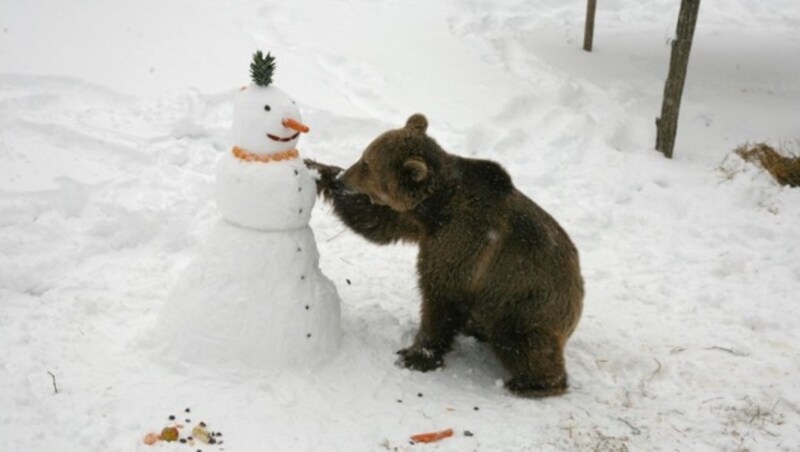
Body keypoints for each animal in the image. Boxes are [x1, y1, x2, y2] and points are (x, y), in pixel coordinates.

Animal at [306, 115, 580, 398]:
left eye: (366, 164)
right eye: (364, 156)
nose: (343, 180)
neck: (438, 207)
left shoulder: (465, 242)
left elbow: (441, 295)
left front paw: (416, 354)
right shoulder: (419, 224)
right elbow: (375, 221)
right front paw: (318, 169)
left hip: (525, 301)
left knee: (520, 341)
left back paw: (531, 383)